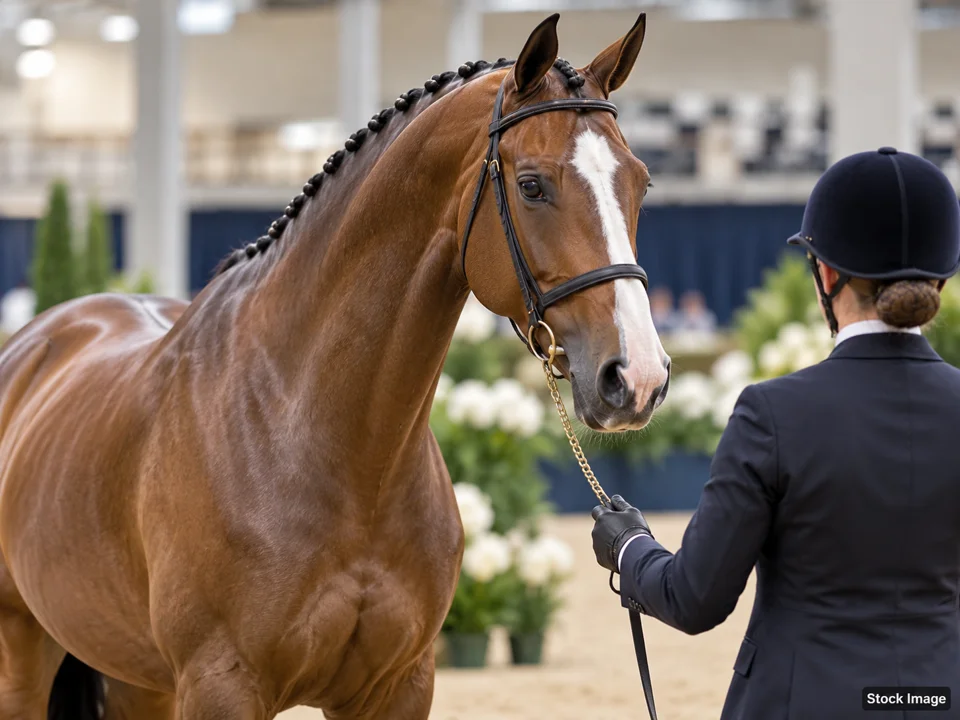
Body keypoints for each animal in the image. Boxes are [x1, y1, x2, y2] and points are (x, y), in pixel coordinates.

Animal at [0, 12, 668, 719]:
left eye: (640, 181)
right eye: (532, 184)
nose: (637, 377)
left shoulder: (399, 687)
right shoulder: (221, 686)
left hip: (139, 678)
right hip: (23, 651)